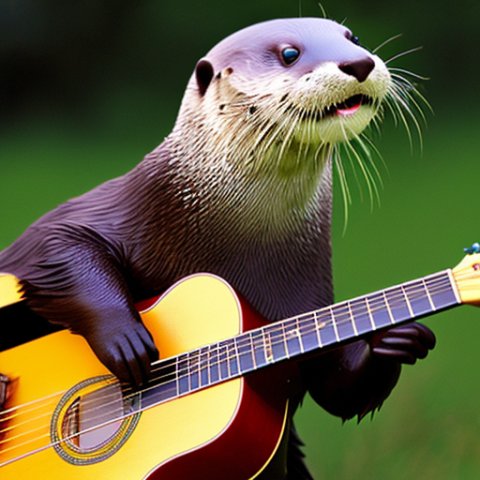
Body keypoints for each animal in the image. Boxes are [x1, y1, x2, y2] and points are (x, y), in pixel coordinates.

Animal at [0, 16, 436, 478]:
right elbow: (53, 243)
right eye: (290, 53)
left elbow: (334, 384)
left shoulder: (305, 297)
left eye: (353, 38)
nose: (359, 62)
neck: (240, 243)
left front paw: (396, 341)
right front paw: (124, 339)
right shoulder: (113, 210)